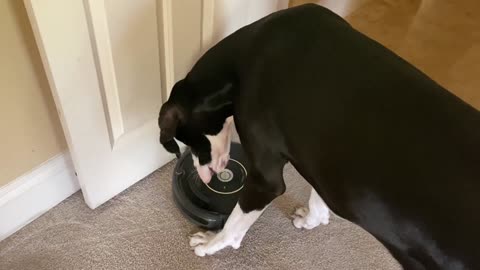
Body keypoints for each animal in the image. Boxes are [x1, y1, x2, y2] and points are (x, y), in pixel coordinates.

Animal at [158, 4, 480, 270]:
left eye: (190, 140)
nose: (207, 177)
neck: (248, 54)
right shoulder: (317, 159)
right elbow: (319, 194)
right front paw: (313, 219)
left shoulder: (265, 178)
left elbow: (236, 223)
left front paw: (212, 243)